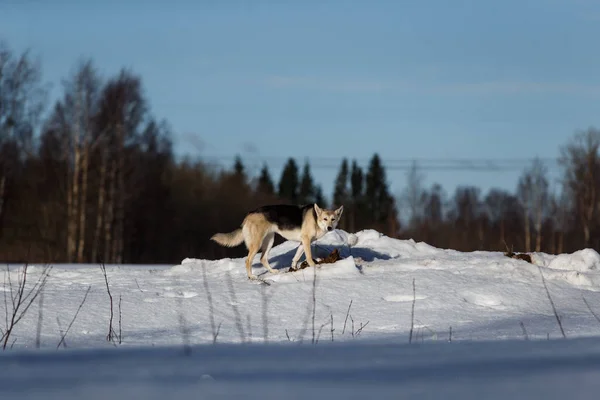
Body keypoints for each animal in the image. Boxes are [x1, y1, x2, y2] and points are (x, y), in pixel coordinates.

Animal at [212, 205, 344, 280]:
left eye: (333, 219)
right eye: (325, 219)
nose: (329, 228)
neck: (316, 220)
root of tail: (249, 214)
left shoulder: (303, 242)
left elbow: (296, 257)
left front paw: (294, 268)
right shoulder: (306, 241)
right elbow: (309, 257)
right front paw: (315, 267)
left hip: (270, 241)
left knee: (263, 259)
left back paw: (272, 271)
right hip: (257, 244)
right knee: (248, 260)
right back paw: (251, 276)